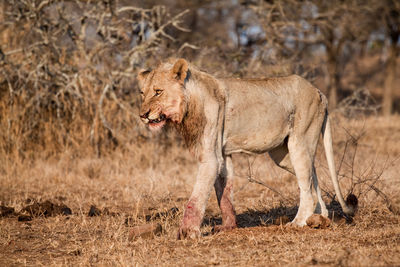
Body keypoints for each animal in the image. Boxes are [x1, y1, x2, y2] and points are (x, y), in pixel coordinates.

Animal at [138, 58, 356, 239]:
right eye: (142, 93)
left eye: (158, 91)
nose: (142, 115)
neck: (190, 103)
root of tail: (319, 92)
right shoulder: (223, 154)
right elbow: (224, 195)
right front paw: (228, 226)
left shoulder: (211, 158)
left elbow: (196, 198)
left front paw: (187, 232)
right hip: (283, 155)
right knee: (312, 175)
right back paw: (319, 217)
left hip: (299, 141)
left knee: (307, 186)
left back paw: (298, 223)